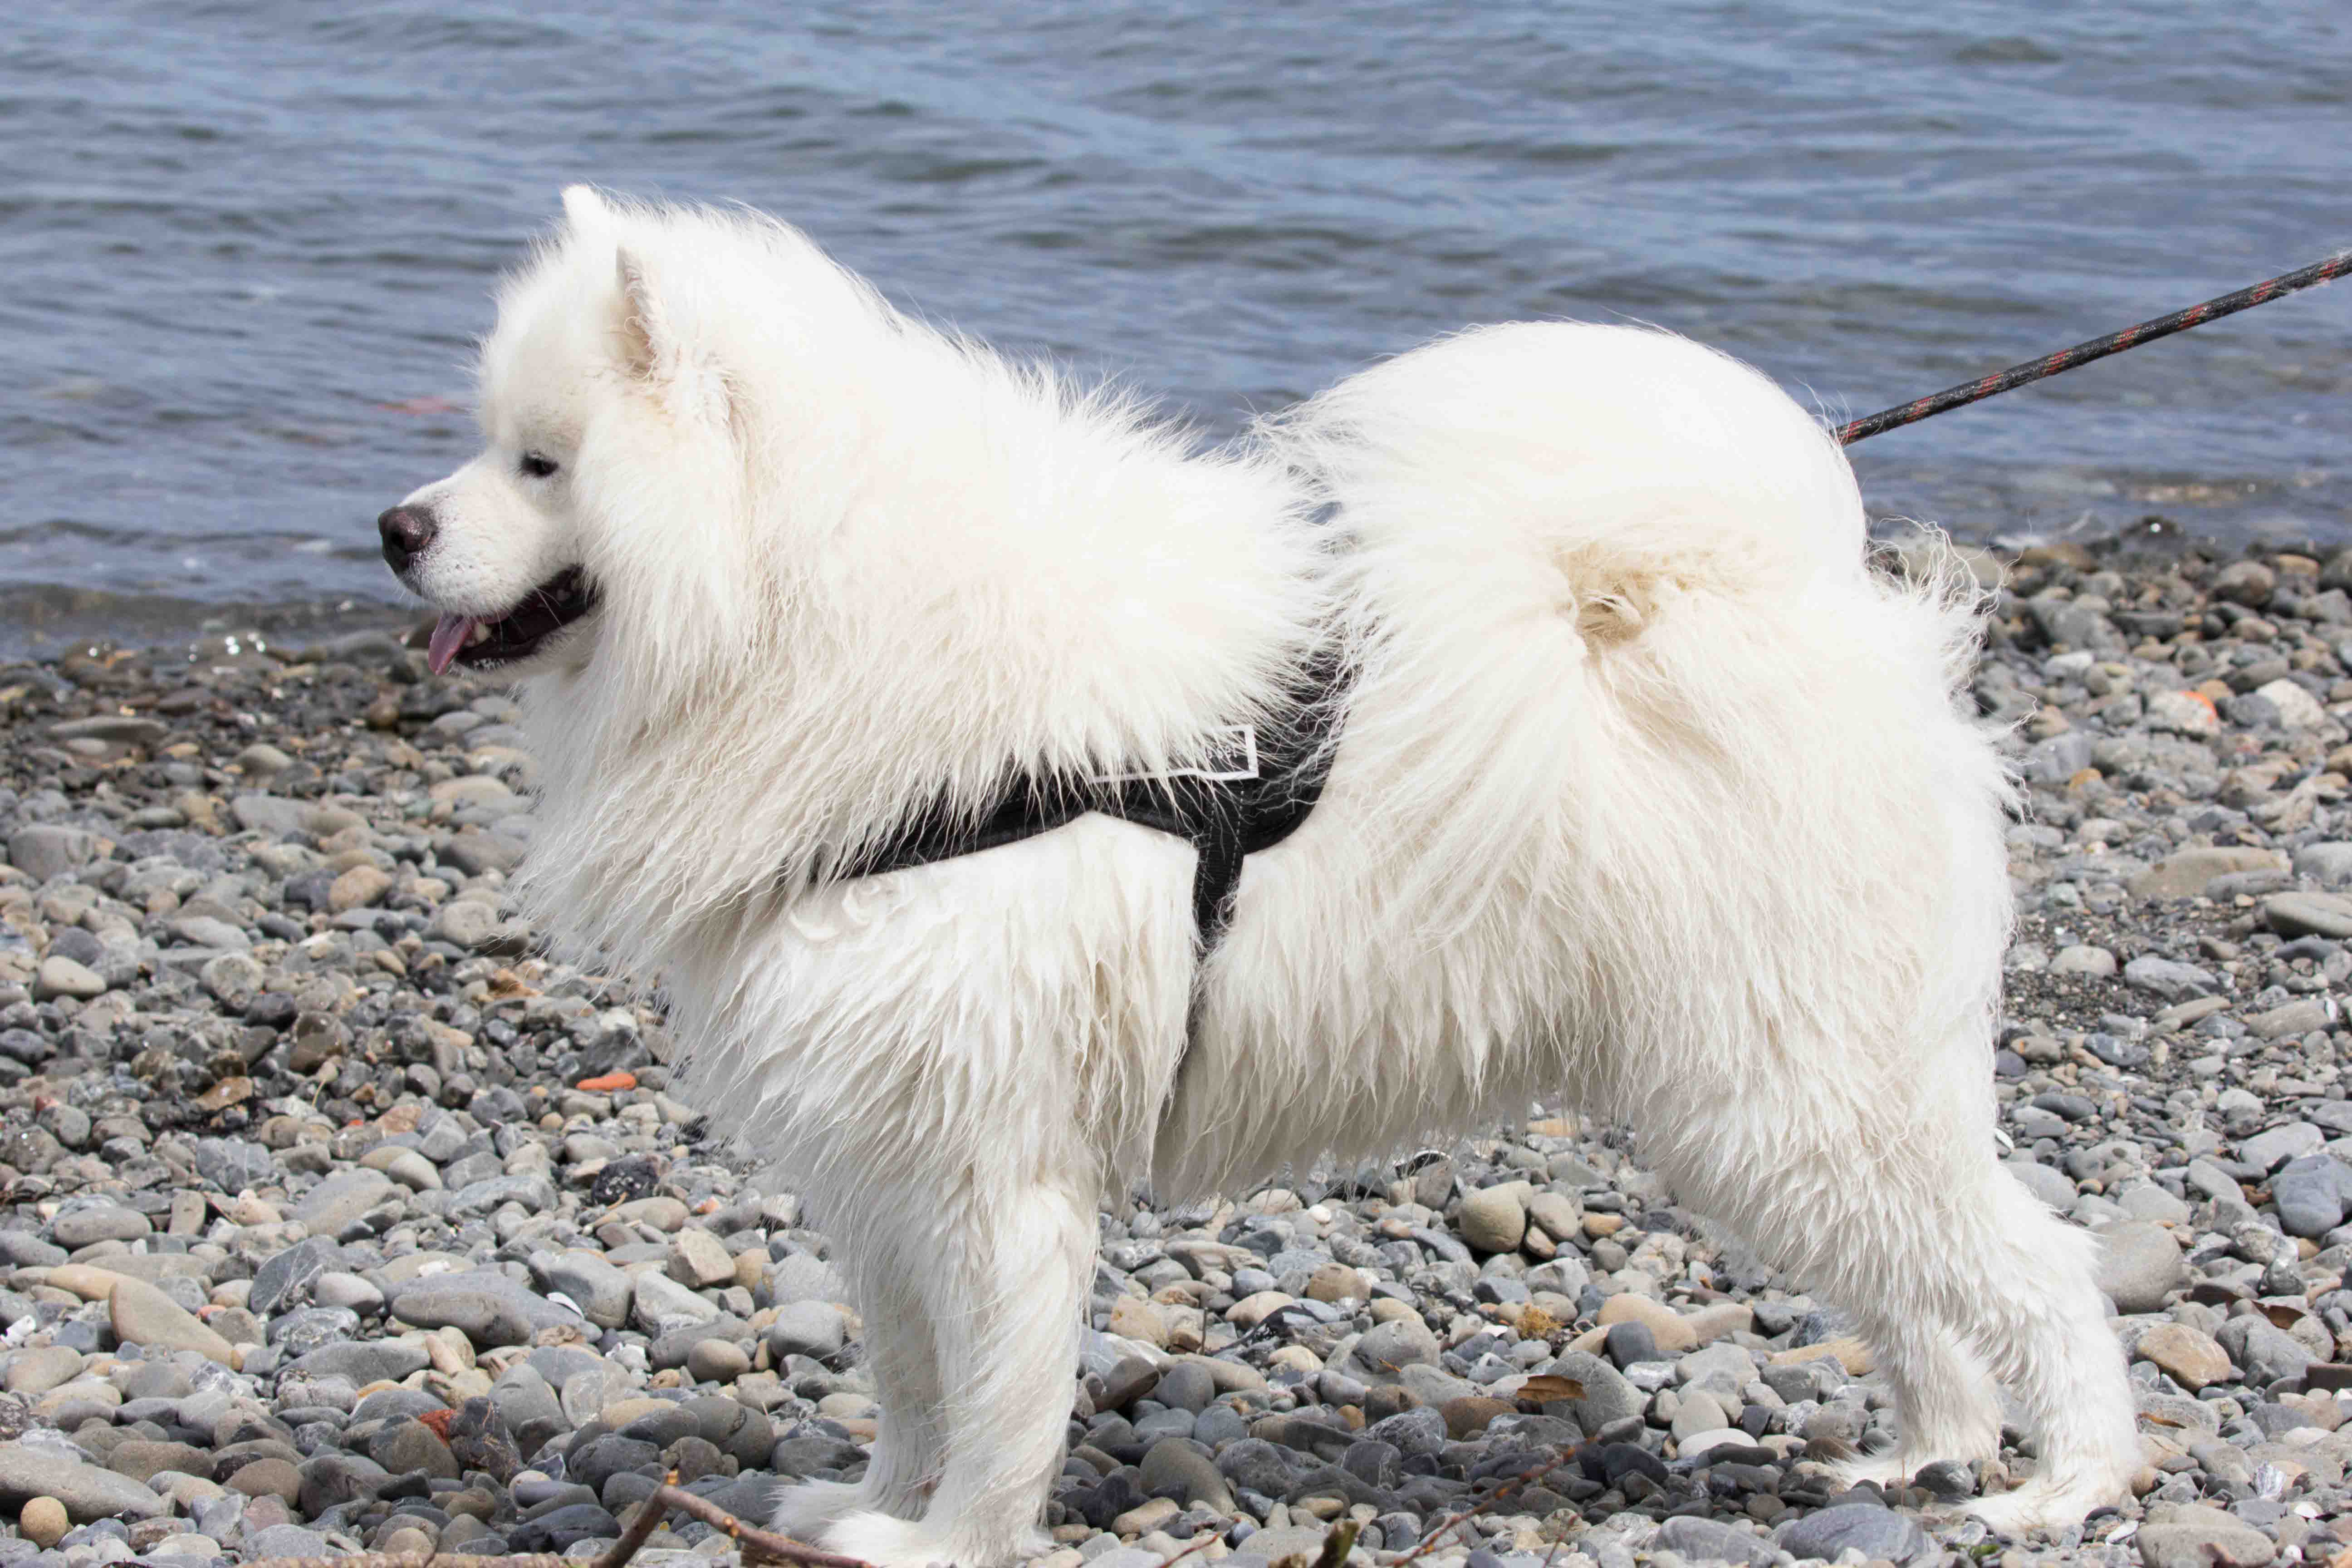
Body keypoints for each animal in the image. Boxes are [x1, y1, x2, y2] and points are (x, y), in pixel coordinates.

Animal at [381, 190, 2154, 1561]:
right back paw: (1916, 1452)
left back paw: (2062, 1487)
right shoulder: (890, 1153)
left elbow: (1002, 1393)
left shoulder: (998, 1158)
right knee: (1916, 1291)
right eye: (493, 445)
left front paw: (949, 1541)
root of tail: (1810, 605)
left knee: (2035, 1266)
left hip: (1781, 1089)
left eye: (542, 464)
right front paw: (868, 1505)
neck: (823, 626)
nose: (394, 527)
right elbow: (911, 1378)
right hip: (1769, 1101)